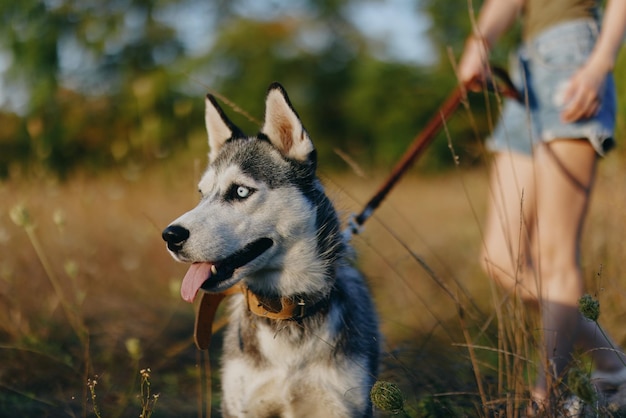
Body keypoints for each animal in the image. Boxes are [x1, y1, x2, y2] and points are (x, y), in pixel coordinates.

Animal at [161, 83, 378, 416]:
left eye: (240, 191)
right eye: (201, 193)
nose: (170, 236)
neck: (286, 311)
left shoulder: (341, 405)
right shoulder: (242, 406)